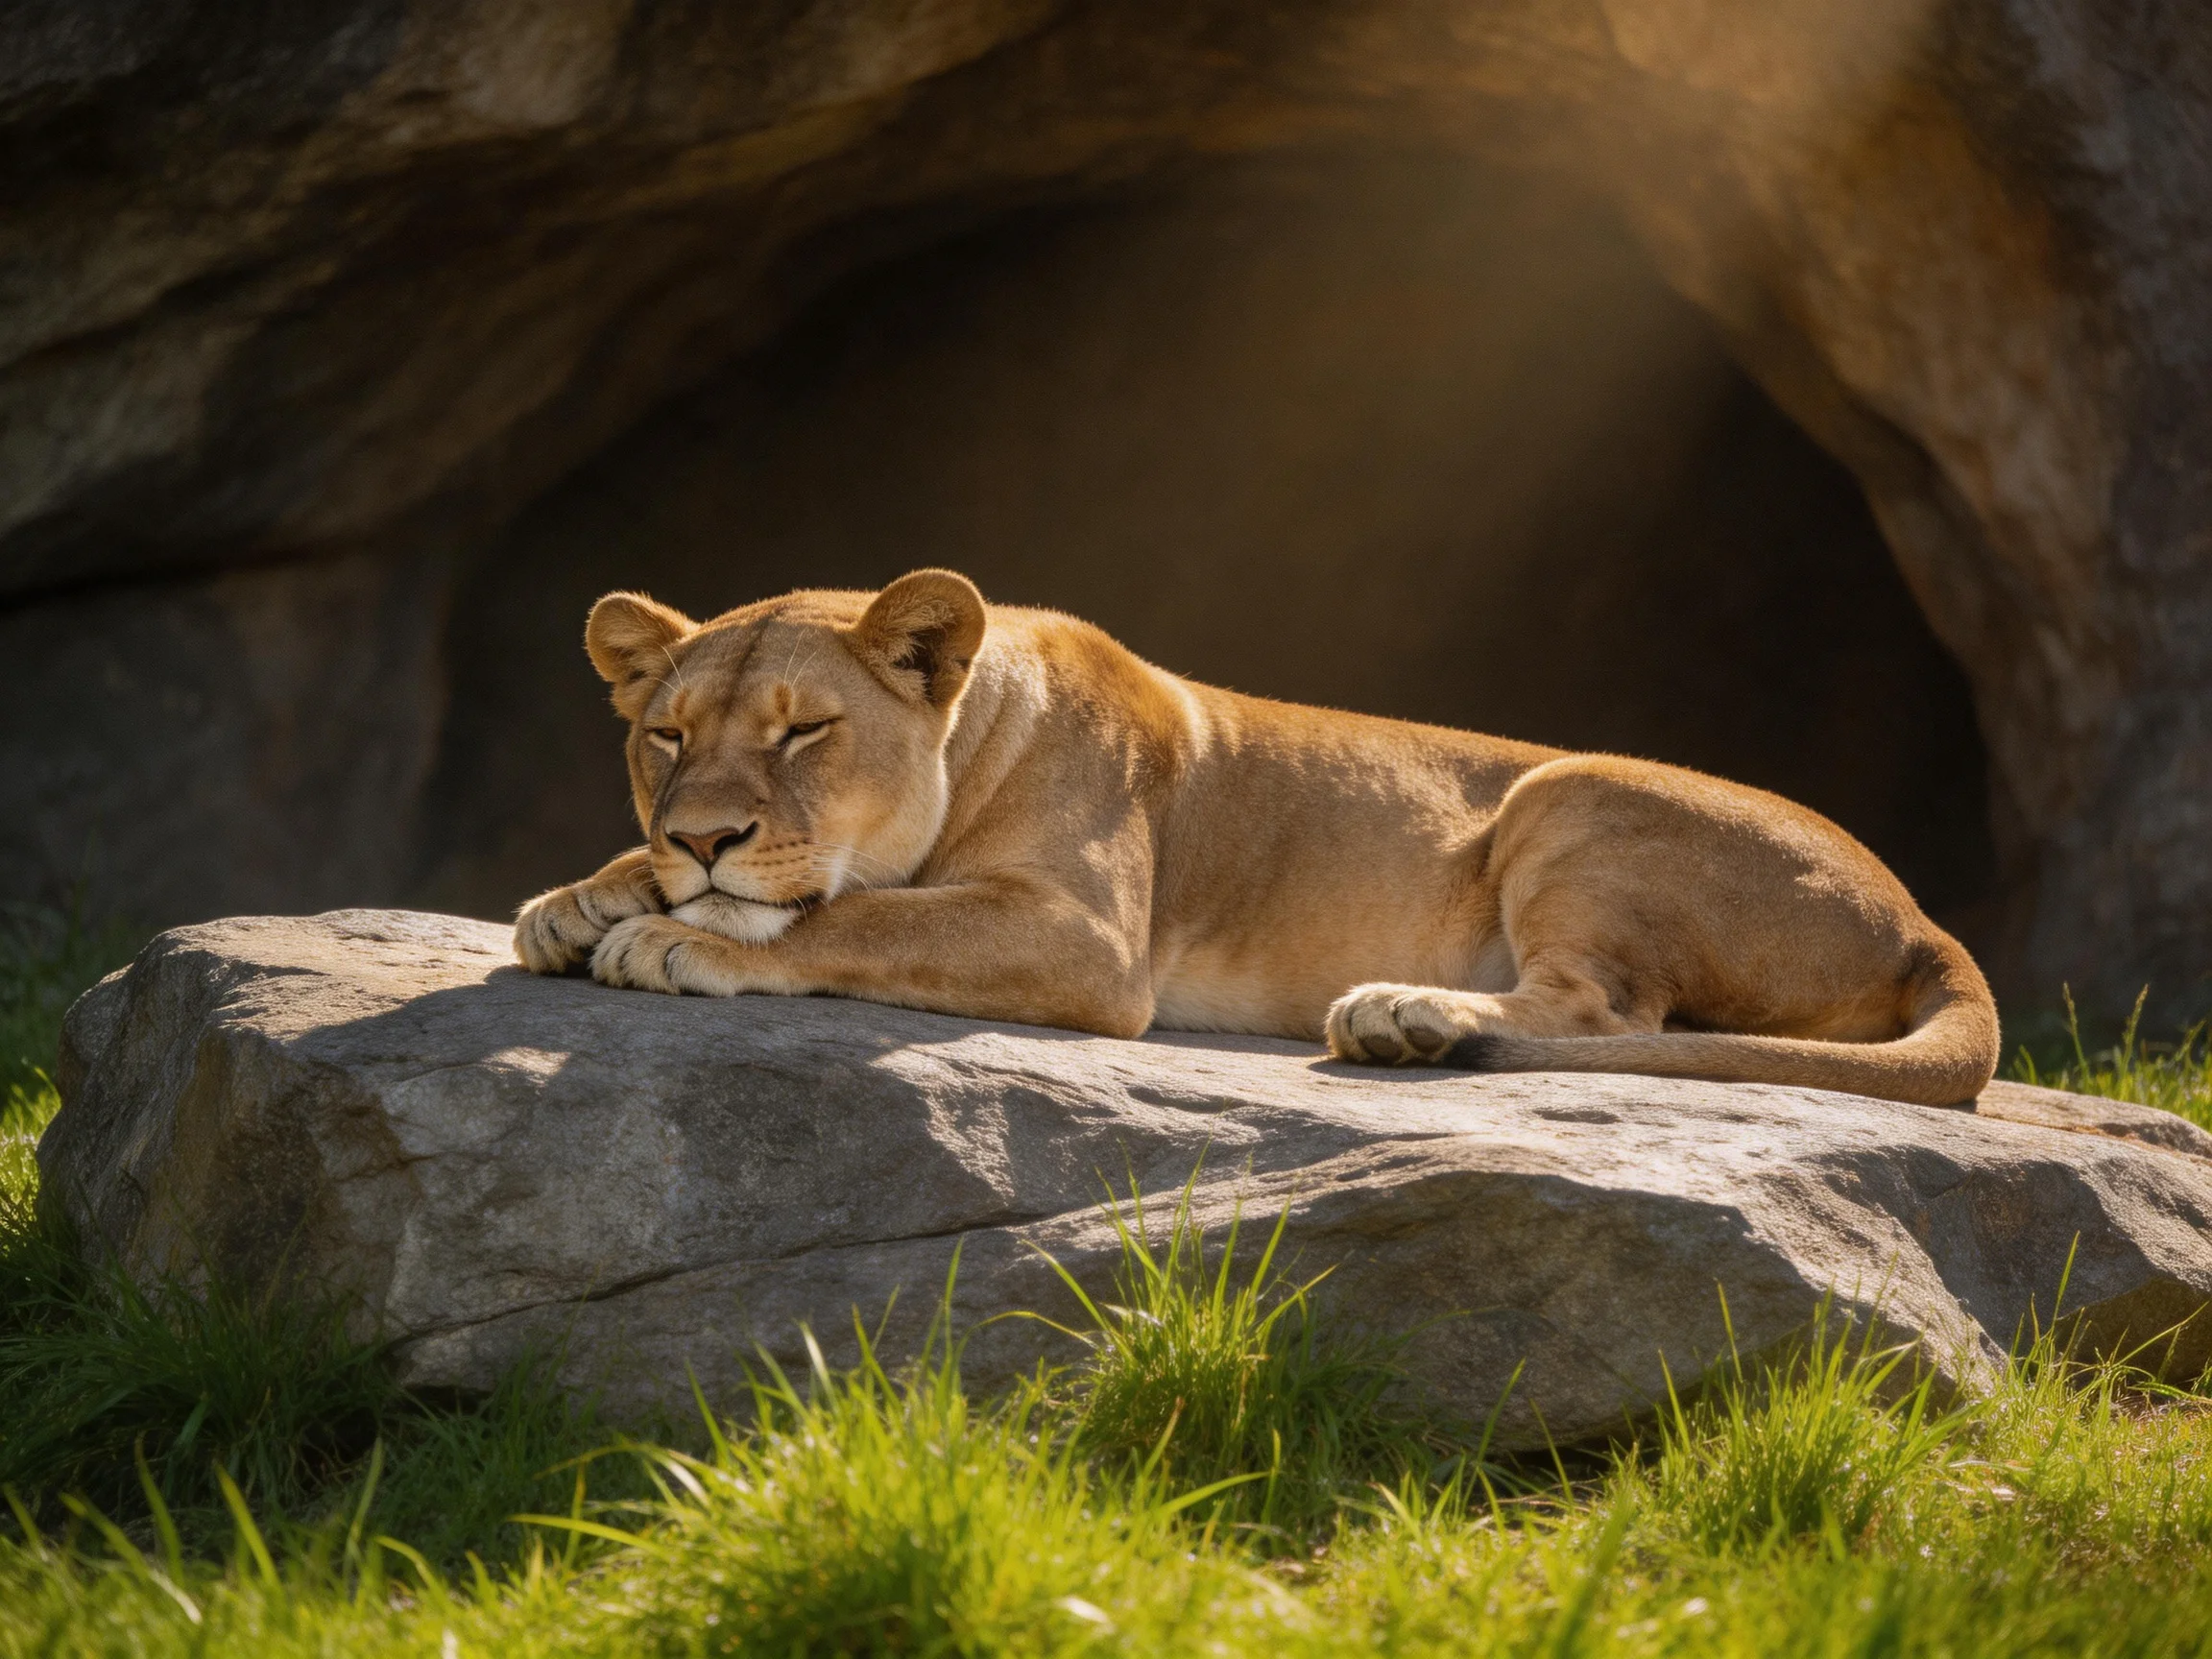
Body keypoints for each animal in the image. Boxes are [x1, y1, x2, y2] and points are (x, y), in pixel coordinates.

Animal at [515, 568, 2001, 1107]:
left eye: (805, 732)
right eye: (666, 737)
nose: (704, 837)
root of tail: (1931, 922)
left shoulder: (1088, 943)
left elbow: (859, 915)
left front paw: (684, 933)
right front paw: (585, 897)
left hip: (1566, 795)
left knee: (1610, 1012)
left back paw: (1407, 1018)